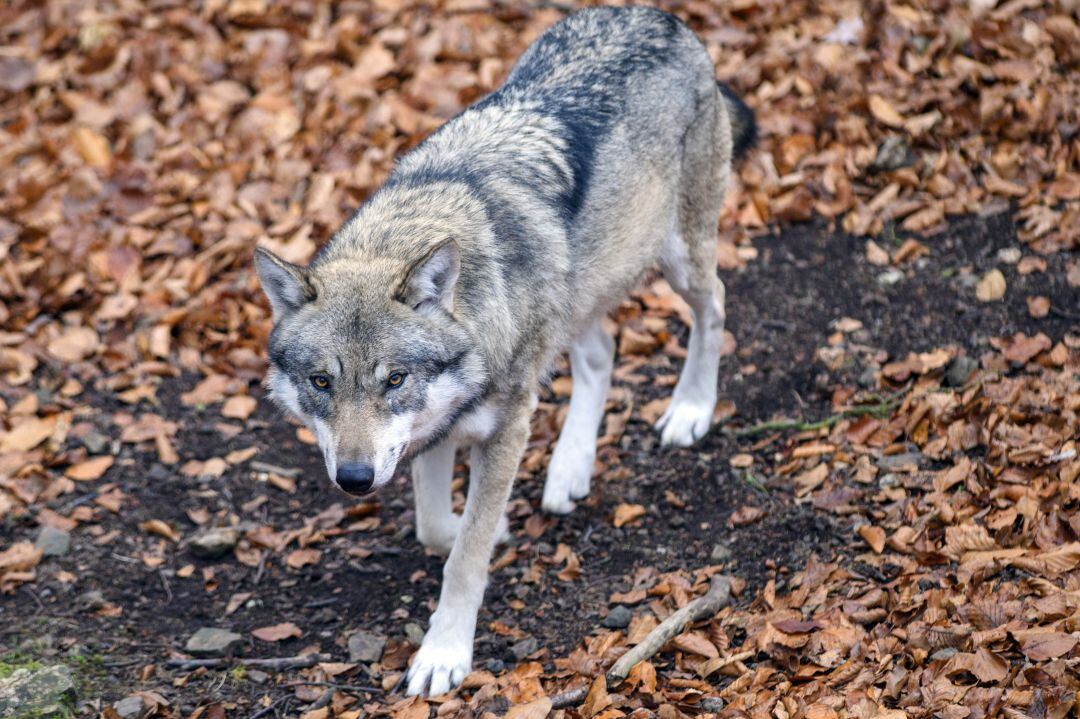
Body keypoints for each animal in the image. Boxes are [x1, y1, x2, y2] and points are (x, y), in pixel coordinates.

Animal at [255, 5, 756, 695]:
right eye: (321, 382)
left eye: (394, 379)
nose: (354, 480)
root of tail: (660, 18)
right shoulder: (432, 431)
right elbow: (434, 525)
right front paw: (491, 527)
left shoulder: (507, 425)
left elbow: (464, 558)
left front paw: (444, 652)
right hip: (578, 293)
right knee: (601, 350)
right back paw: (569, 470)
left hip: (679, 259)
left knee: (718, 307)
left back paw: (691, 411)